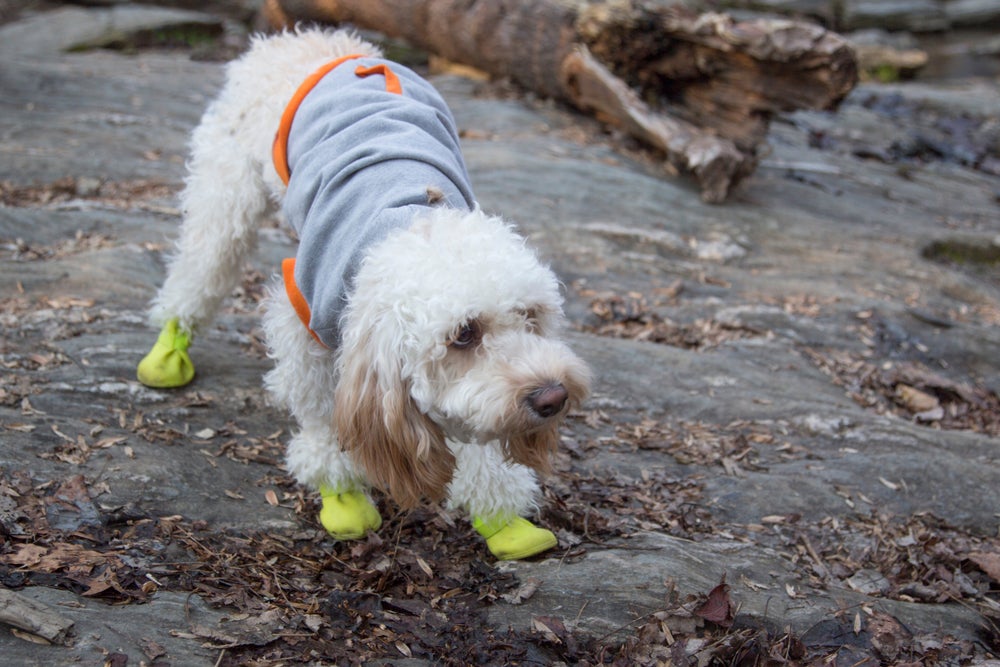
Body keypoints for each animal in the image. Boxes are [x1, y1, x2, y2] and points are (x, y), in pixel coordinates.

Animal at [132, 27, 584, 560]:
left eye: (531, 316)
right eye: (464, 334)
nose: (554, 396)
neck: (408, 221)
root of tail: (306, 39)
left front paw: (501, 516)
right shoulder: (303, 313)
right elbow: (319, 410)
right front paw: (340, 489)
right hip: (224, 195)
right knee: (199, 269)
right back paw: (169, 348)